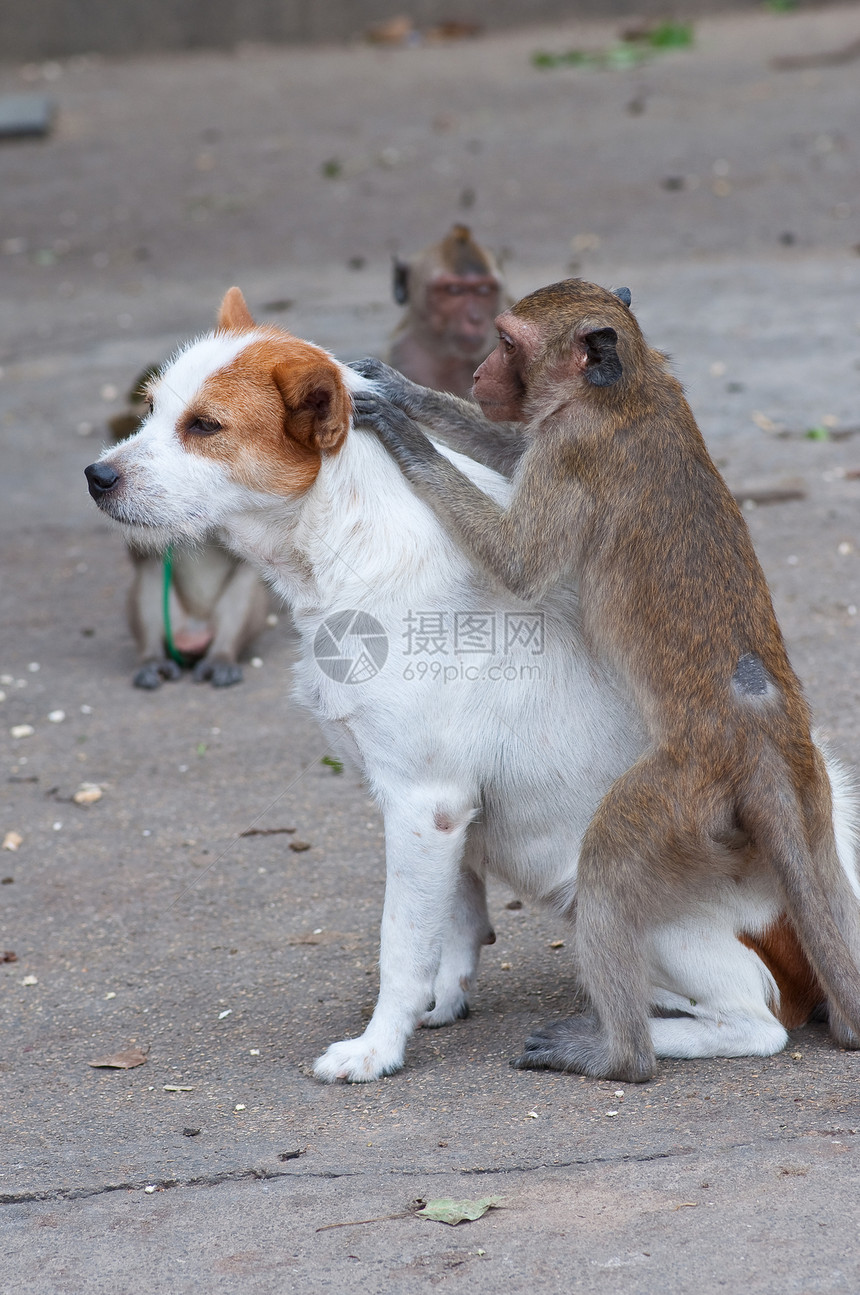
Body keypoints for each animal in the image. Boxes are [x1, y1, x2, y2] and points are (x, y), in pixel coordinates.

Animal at [107, 370, 270, 688]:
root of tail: (194, 636)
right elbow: (142, 549)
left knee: (244, 581)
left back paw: (222, 658)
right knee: (151, 573)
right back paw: (152, 660)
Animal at [349, 281, 860, 1082]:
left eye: (507, 341)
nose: (480, 373)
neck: (628, 387)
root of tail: (761, 732)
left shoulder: (573, 449)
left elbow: (518, 560)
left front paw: (405, 433)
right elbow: (509, 451)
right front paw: (406, 390)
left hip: (686, 788)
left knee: (611, 864)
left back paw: (619, 1055)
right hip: (812, 792)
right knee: (827, 872)